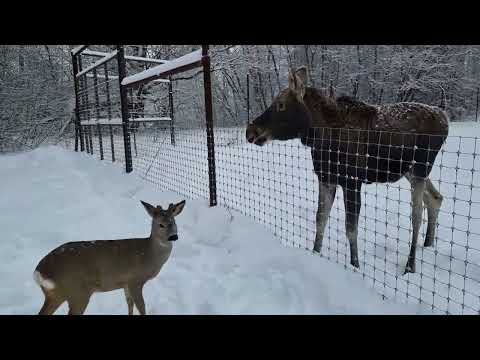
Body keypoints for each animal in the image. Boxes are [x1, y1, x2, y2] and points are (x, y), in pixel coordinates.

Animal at [33, 200, 186, 316]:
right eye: (160, 224)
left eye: (173, 222)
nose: (173, 237)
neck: (148, 254)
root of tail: (39, 272)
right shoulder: (135, 280)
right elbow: (142, 307)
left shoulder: (125, 283)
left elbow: (129, 304)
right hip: (77, 293)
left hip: (55, 295)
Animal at [248, 67, 450, 274]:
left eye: (280, 105)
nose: (251, 131)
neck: (319, 137)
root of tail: (444, 117)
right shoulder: (326, 178)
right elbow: (320, 219)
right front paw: (315, 252)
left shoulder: (351, 181)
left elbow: (351, 228)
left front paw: (355, 265)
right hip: (409, 170)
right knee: (435, 198)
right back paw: (428, 243)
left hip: (421, 167)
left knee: (416, 214)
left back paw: (410, 265)